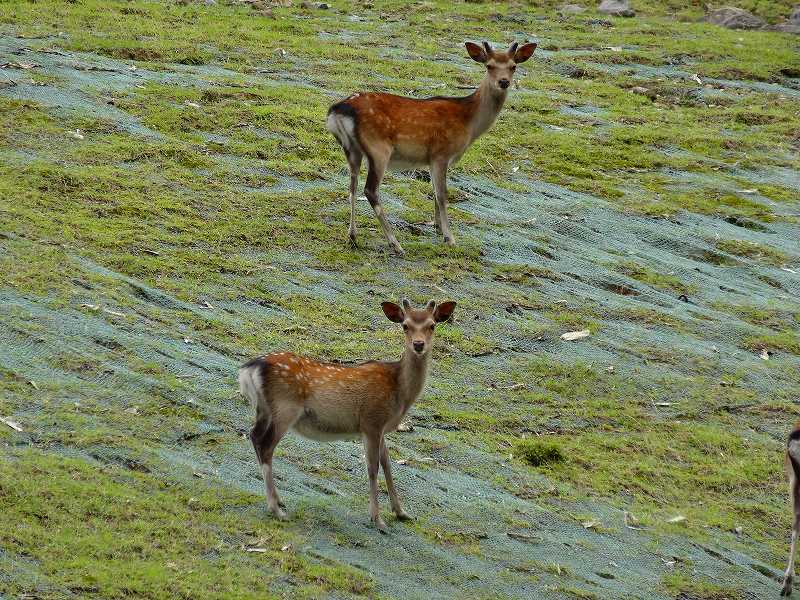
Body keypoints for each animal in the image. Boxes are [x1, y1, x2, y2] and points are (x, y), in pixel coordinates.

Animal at [238, 298, 456, 528]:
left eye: (432, 325)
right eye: (405, 325)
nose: (418, 344)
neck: (400, 393)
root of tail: (248, 369)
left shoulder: (381, 427)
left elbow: (387, 464)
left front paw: (401, 512)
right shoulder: (371, 421)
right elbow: (373, 467)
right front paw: (377, 519)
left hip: (264, 410)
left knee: (254, 435)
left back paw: (278, 500)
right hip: (285, 408)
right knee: (266, 445)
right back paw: (275, 508)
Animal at [324, 39, 536, 255]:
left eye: (513, 66)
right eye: (489, 66)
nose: (504, 82)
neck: (469, 123)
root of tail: (338, 110)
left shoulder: (431, 160)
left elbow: (434, 191)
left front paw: (437, 227)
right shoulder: (440, 154)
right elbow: (442, 194)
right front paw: (449, 238)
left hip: (352, 150)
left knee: (352, 186)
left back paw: (352, 236)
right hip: (379, 149)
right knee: (370, 190)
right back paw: (395, 243)